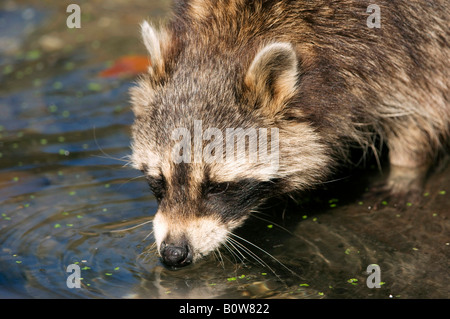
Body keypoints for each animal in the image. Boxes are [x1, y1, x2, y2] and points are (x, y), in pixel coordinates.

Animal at [128, 0, 448, 268]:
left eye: (218, 187)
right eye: (158, 180)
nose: (173, 253)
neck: (233, 35)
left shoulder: (404, 34)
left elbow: (421, 100)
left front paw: (407, 166)